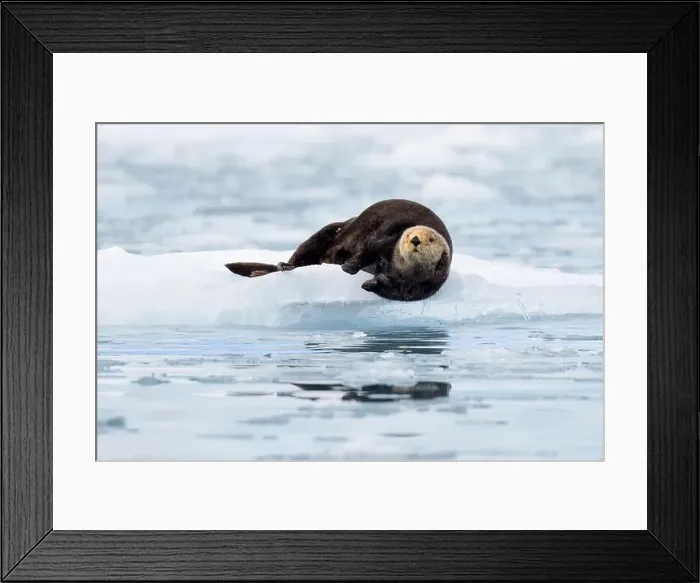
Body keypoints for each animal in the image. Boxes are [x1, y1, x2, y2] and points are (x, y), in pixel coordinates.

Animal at [224, 199, 453, 302]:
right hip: (327, 232)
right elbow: (369, 248)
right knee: (300, 257)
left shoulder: (426, 285)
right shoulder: (390, 236)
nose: (415, 239)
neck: (399, 267)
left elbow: (398, 292)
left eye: (431, 238)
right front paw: (349, 267)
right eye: (408, 234)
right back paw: (283, 266)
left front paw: (371, 283)